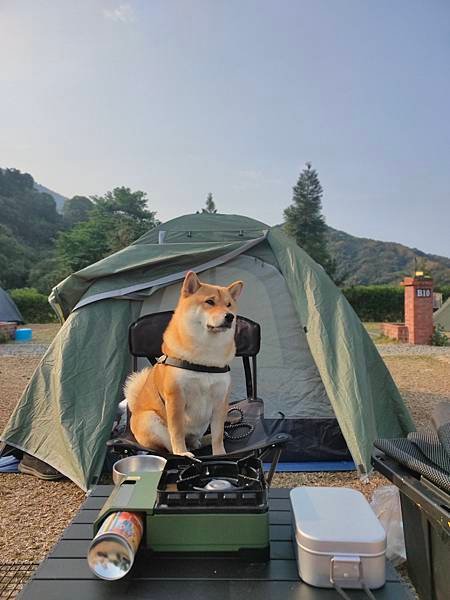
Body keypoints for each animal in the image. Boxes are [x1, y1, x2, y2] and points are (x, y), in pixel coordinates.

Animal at [123, 270, 243, 458]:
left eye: (229, 305)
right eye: (210, 302)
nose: (230, 316)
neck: (206, 357)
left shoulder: (220, 400)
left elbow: (218, 434)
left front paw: (220, 453)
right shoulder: (176, 398)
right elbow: (177, 431)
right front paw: (181, 452)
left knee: (197, 439)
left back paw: (202, 441)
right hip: (151, 421)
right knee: (168, 445)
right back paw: (184, 452)